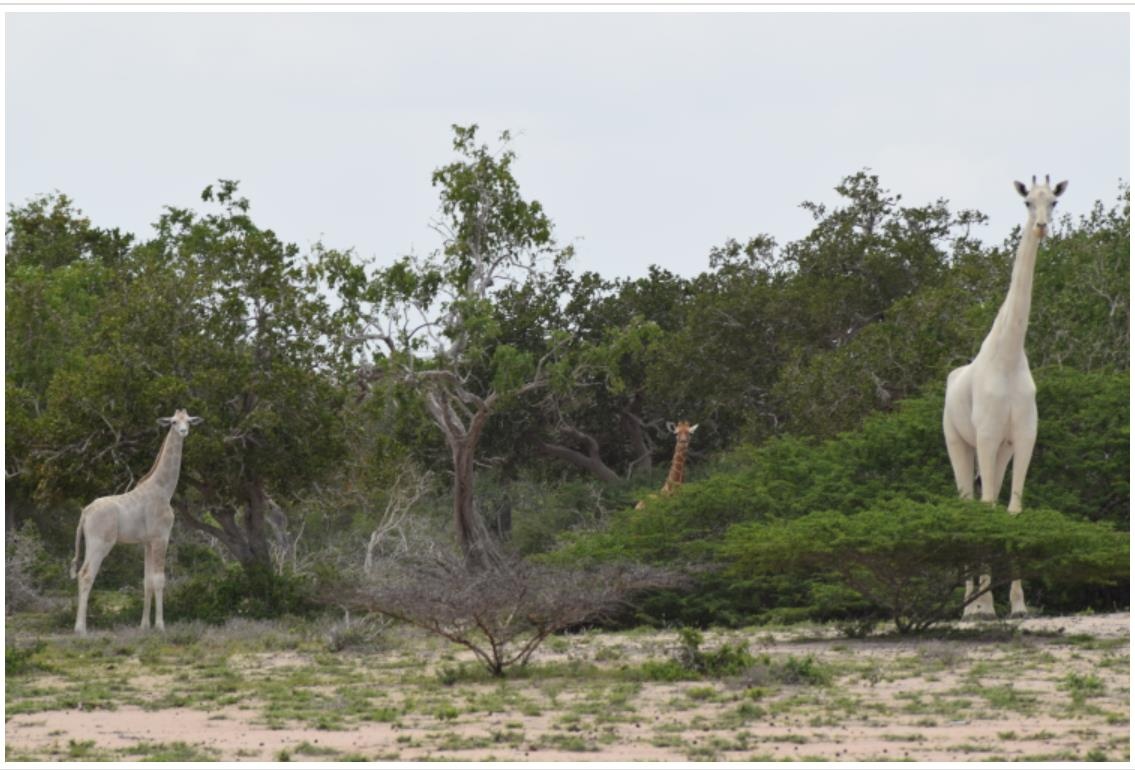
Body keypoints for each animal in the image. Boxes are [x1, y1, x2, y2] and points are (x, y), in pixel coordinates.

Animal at [70, 411, 202, 631]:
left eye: (189, 421)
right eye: (174, 422)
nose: (184, 431)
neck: (164, 490)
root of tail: (85, 513)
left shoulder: (147, 542)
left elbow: (147, 581)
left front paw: (144, 626)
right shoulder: (161, 537)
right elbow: (159, 579)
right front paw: (160, 626)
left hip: (89, 542)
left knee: (81, 573)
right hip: (100, 543)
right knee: (86, 575)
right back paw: (81, 629)